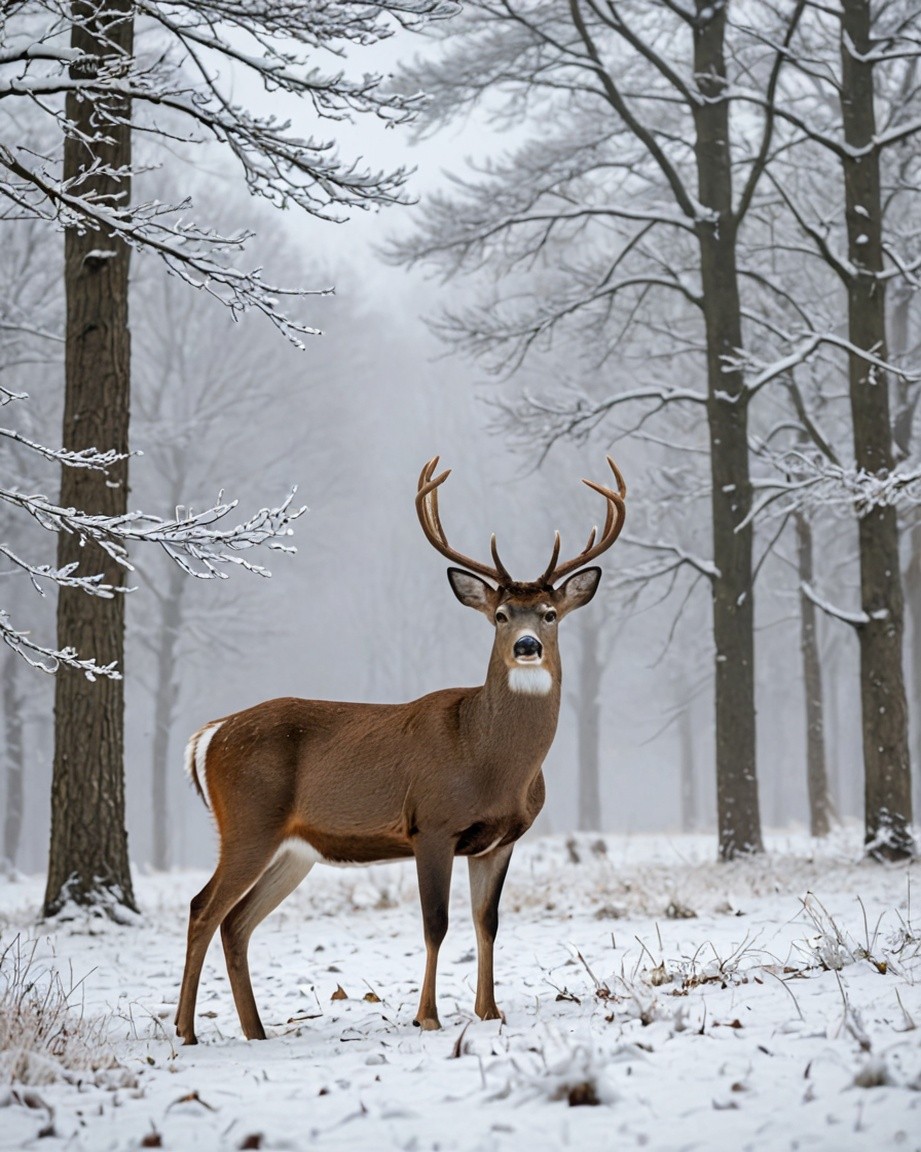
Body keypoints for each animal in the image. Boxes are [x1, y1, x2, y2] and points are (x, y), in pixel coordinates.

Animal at [175, 456, 626, 1044]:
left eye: (549, 613)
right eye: (501, 615)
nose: (527, 647)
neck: (489, 760)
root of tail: (208, 735)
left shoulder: (499, 840)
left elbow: (487, 923)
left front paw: (489, 1011)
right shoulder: (430, 824)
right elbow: (436, 922)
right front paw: (427, 1015)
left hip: (293, 848)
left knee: (237, 921)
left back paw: (256, 1031)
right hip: (248, 822)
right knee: (203, 907)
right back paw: (185, 1031)